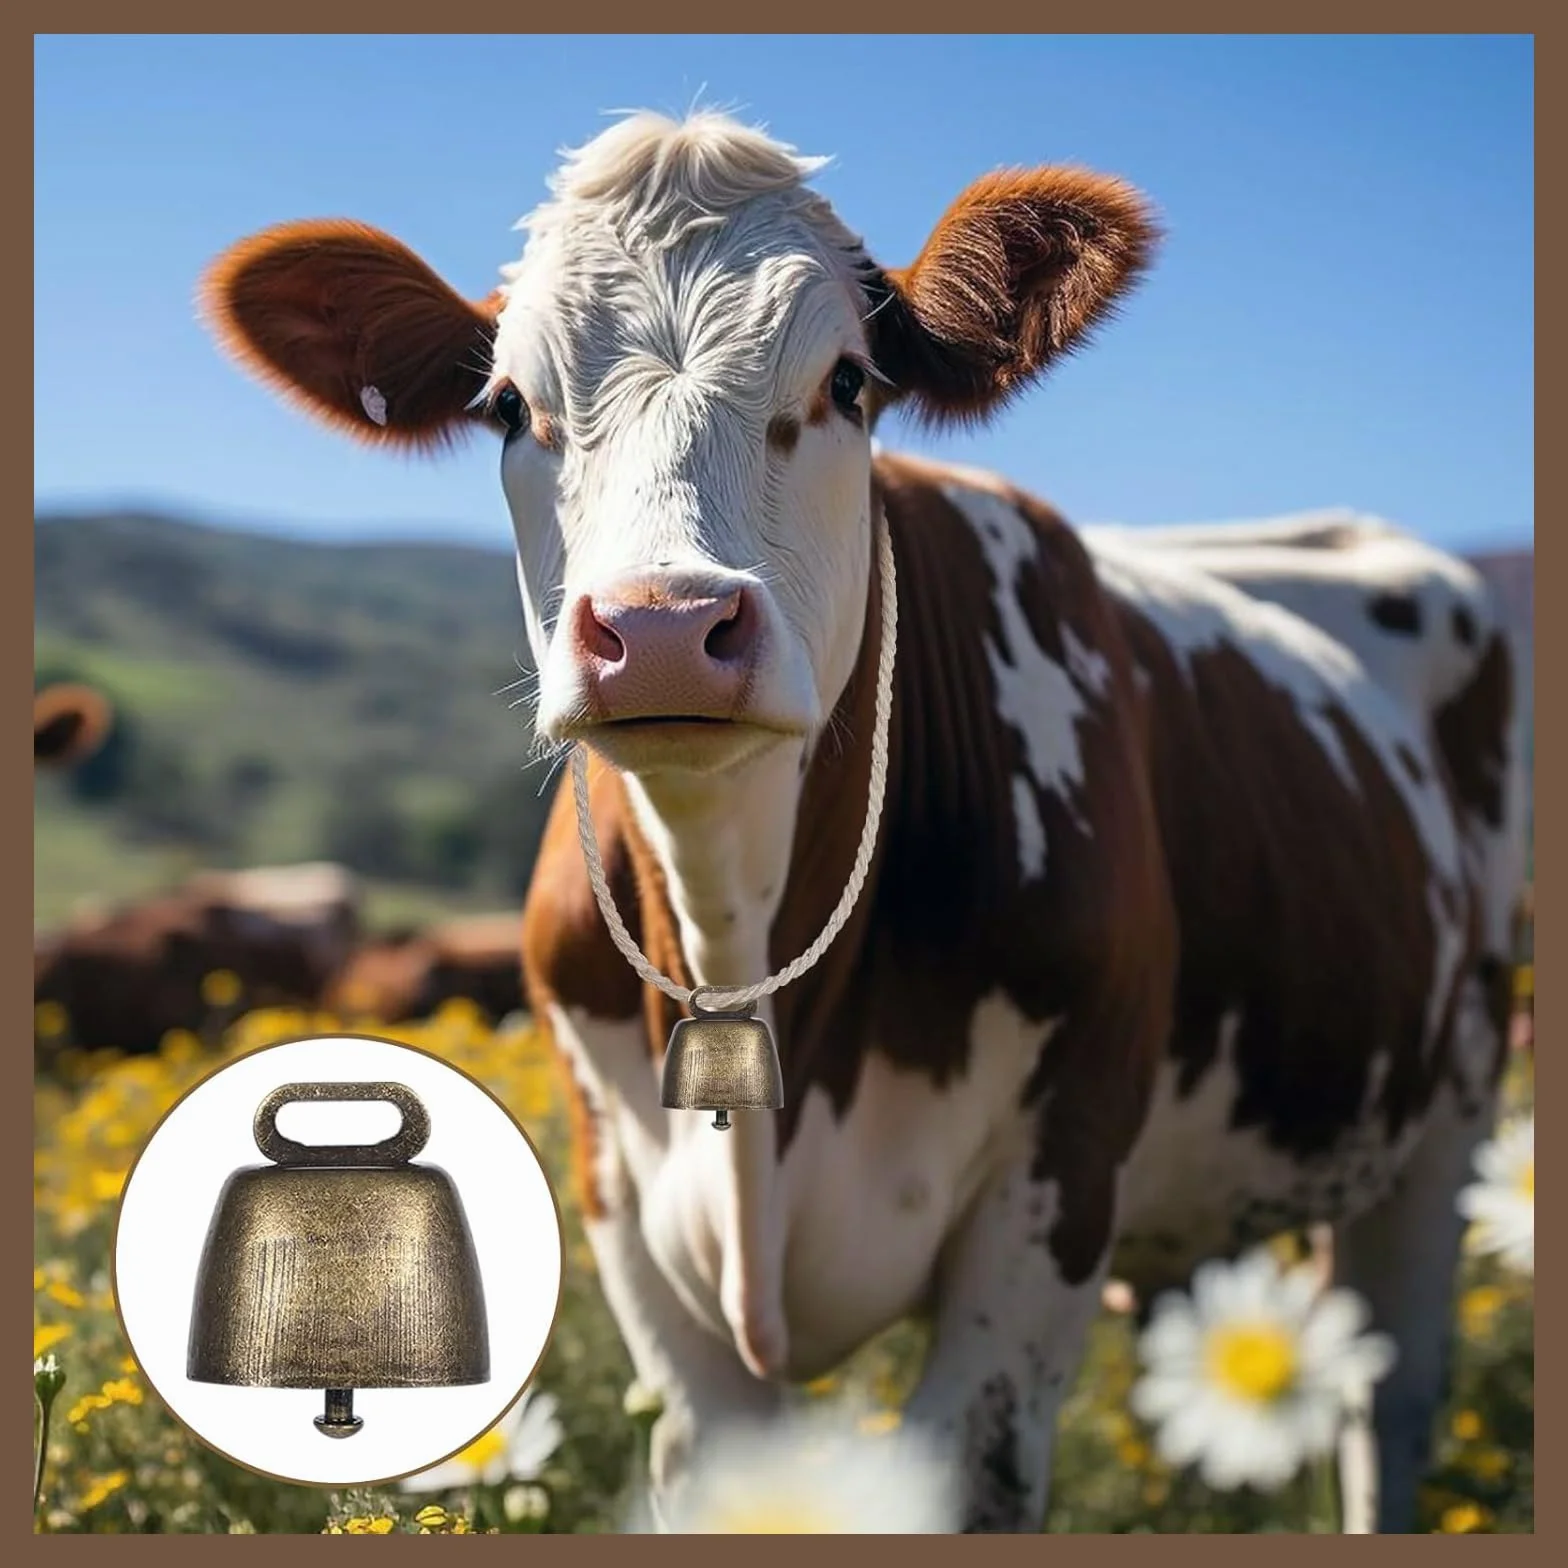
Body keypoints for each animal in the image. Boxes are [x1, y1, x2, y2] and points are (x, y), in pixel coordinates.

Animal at [198, 111, 1526, 1533]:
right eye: (506, 405)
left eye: (846, 383)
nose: (663, 627)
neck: (732, 925)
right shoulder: (628, 1218)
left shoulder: (1048, 1189)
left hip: (1445, 1113)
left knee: (1384, 1399)